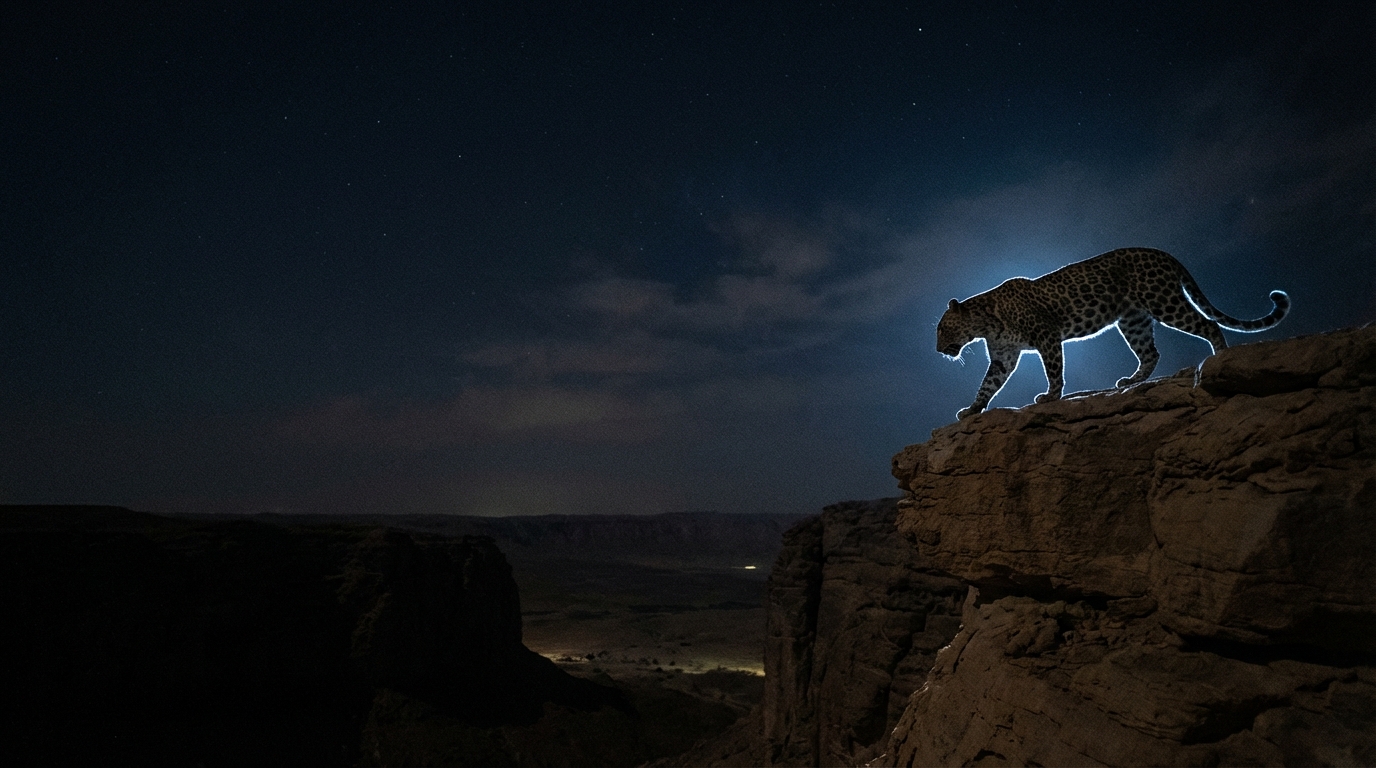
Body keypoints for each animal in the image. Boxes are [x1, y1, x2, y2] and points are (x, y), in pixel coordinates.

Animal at [936, 247, 1289, 419]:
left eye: (941, 328)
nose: (939, 350)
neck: (984, 323)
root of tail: (1163, 253)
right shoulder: (1004, 357)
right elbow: (988, 384)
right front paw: (972, 410)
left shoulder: (1046, 337)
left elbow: (1054, 370)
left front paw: (1051, 397)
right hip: (1132, 320)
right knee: (1151, 352)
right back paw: (1131, 381)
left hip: (1163, 302)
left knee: (1209, 325)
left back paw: (1219, 358)